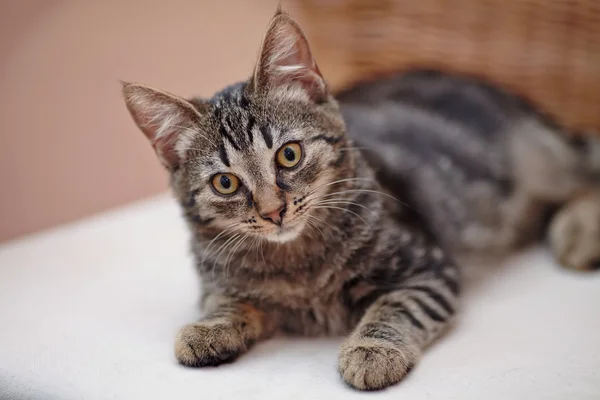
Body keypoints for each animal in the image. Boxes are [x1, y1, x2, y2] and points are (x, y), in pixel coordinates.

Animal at [123, 8, 600, 390]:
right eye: (226, 184)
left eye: (289, 155)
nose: (274, 211)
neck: (296, 263)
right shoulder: (219, 281)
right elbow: (224, 300)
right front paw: (209, 328)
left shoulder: (428, 268)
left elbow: (397, 306)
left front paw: (372, 350)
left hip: (541, 163)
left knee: (586, 177)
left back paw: (578, 236)